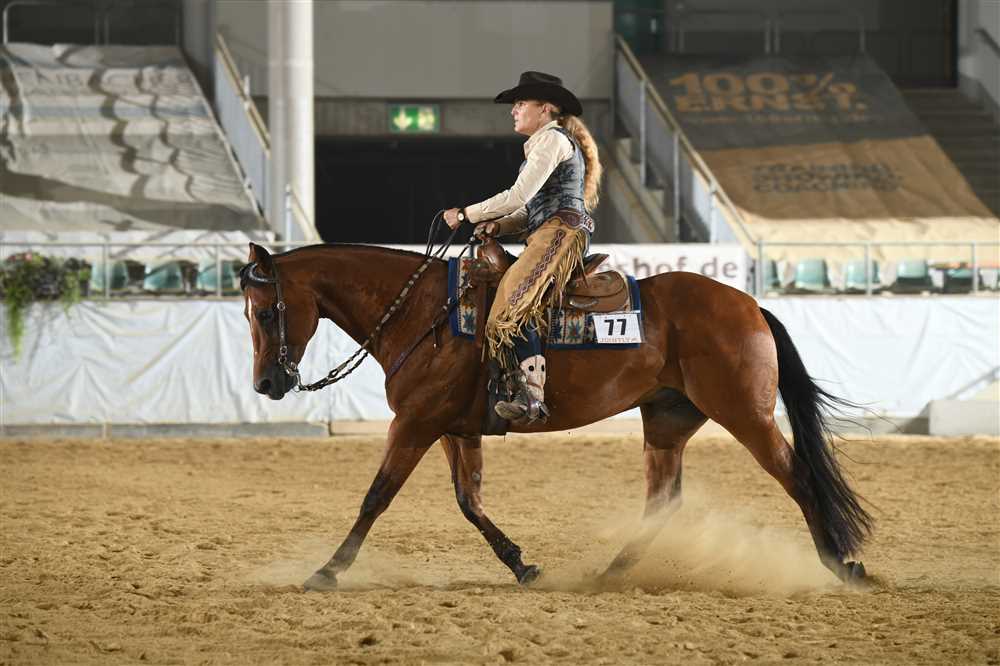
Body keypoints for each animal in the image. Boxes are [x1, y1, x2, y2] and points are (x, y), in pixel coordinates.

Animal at [239, 241, 872, 591]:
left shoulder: (414, 425)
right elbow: (469, 501)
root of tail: (749, 304)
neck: (424, 314)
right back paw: (609, 574)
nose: (267, 384)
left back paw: (842, 565)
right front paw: (522, 566)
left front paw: (327, 571)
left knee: (798, 477)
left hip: (747, 415)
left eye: (267, 312)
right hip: (667, 421)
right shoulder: (452, 429)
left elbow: (376, 497)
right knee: (663, 500)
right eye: (246, 313)